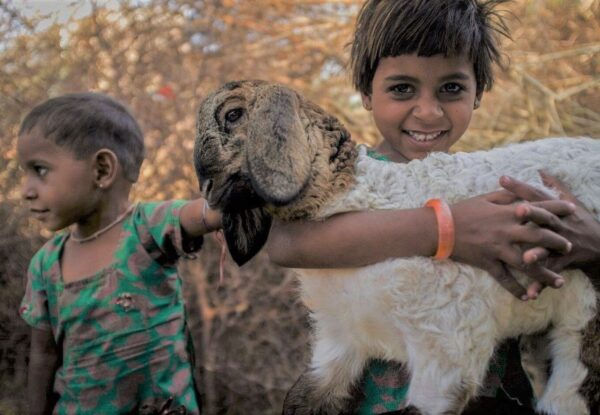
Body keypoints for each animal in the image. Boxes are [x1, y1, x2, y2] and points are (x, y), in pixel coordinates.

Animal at [193, 79, 600, 414]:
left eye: (233, 114)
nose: (207, 191)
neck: (354, 198)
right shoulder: (339, 340)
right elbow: (302, 398)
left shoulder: (447, 347)